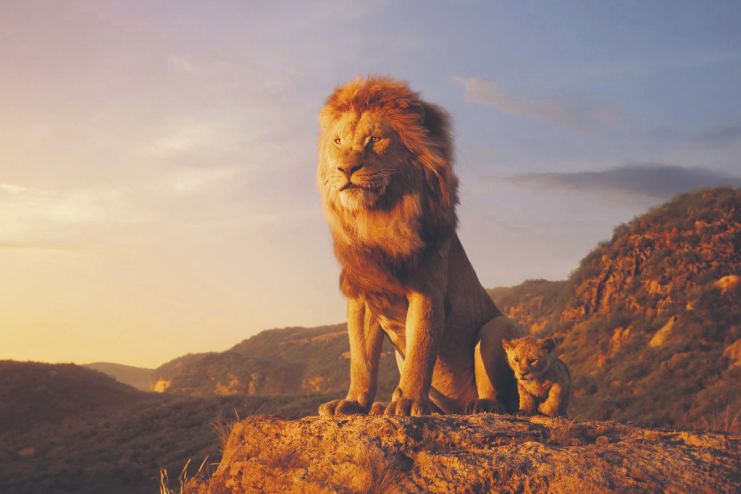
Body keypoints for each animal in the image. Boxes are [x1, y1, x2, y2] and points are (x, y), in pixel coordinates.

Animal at [316, 76, 524, 417]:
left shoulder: (427, 292)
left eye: (374, 139)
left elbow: (420, 352)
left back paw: (481, 406)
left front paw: (409, 402)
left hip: (498, 326)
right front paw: (353, 403)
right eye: (337, 141)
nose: (346, 169)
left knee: (497, 393)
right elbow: (361, 360)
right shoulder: (363, 296)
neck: (376, 219)